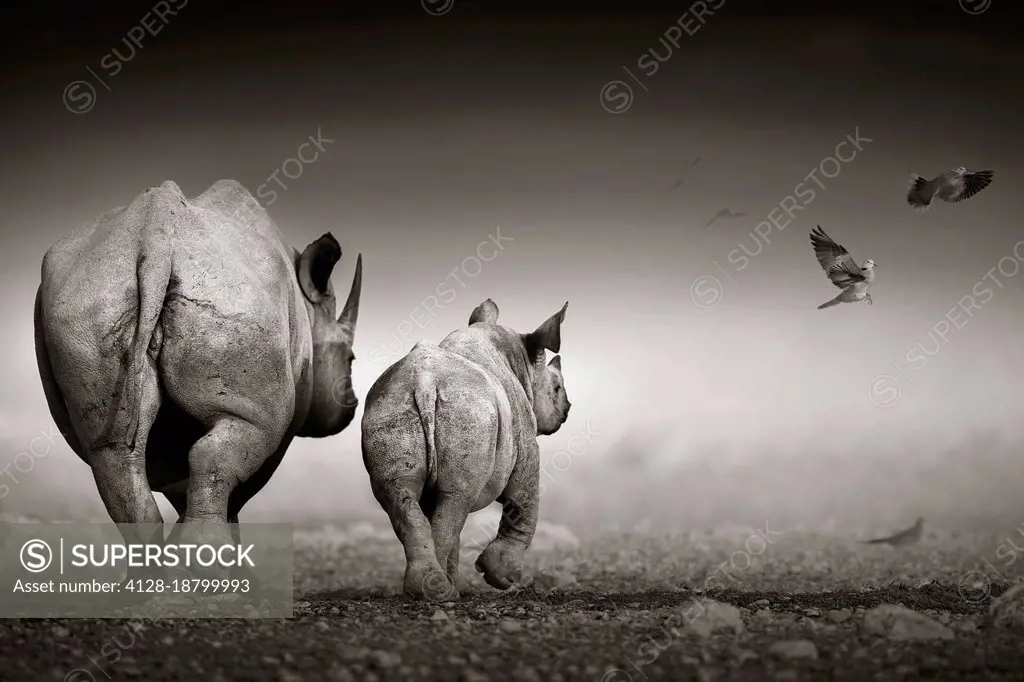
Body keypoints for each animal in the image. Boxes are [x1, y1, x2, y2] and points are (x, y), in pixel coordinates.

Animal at [35, 179, 364, 552]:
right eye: (349, 359)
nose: (351, 405)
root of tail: (155, 239)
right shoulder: (282, 416)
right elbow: (239, 488)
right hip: (231, 298)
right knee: (227, 445)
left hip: (90, 299)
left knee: (112, 454)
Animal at [360, 296, 569, 602]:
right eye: (556, 388)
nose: (566, 409)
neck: (522, 363)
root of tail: (424, 383)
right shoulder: (525, 442)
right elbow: (523, 501)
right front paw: (502, 576)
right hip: (469, 413)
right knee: (456, 499)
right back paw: (440, 593)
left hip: (390, 406)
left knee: (404, 495)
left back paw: (432, 591)